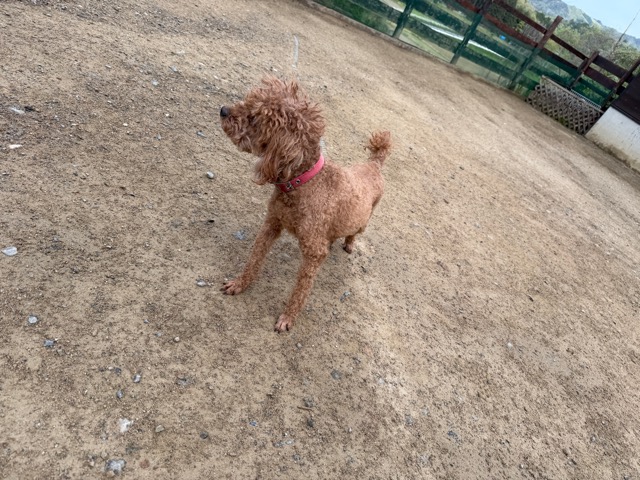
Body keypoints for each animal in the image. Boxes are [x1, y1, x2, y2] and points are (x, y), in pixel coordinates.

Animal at [219, 76, 391, 332]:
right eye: (248, 101)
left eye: (254, 118)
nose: (223, 110)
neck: (302, 182)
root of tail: (374, 164)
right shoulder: (272, 223)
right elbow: (255, 257)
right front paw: (239, 284)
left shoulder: (313, 253)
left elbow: (301, 290)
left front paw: (287, 319)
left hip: (363, 220)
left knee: (355, 232)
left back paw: (349, 244)